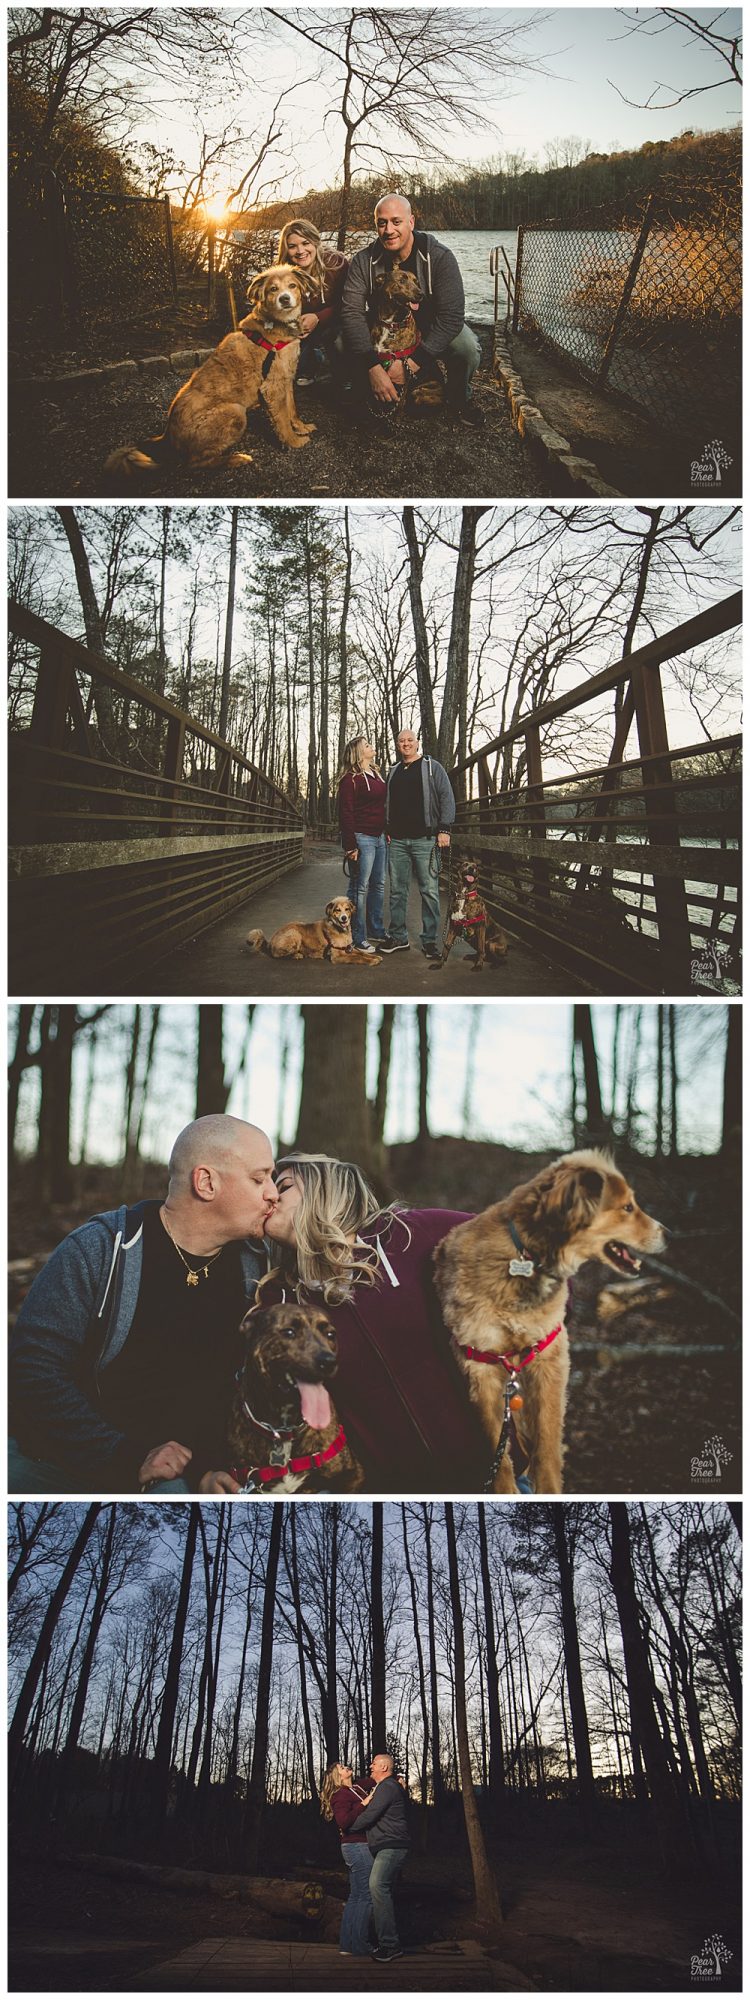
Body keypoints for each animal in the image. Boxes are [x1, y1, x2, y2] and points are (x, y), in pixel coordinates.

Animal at [106, 262, 314, 476]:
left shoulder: (286, 379)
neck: (276, 325)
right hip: (235, 411)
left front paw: (301, 427)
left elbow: (291, 409)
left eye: (292, 286)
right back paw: (235, 459)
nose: (284, 299)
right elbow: (282, 420)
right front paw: (294, 442)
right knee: (194, 463)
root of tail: (167, 435)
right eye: (273, 289)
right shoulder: (272, 386)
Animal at [247, 896, 382, 964]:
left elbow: (361, 953)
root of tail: (270, 941)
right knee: (277, 954)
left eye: (347, 909)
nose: (344, 918)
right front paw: (372, 961)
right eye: (337, 910)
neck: (339, 929)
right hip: (295, 933)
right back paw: (297, 955)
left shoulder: (347, 948)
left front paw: (375, 957)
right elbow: (358, 958)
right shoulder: (337, 956)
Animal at [432, 1152, 668, 1496]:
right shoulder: (480, 1366)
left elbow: (547, 1443)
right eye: (627, 1207)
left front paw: (547, 1489)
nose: (669, 1234)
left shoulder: (548, 1354)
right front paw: (505, 1491)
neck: (526, 1258)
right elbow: (498, 1453)